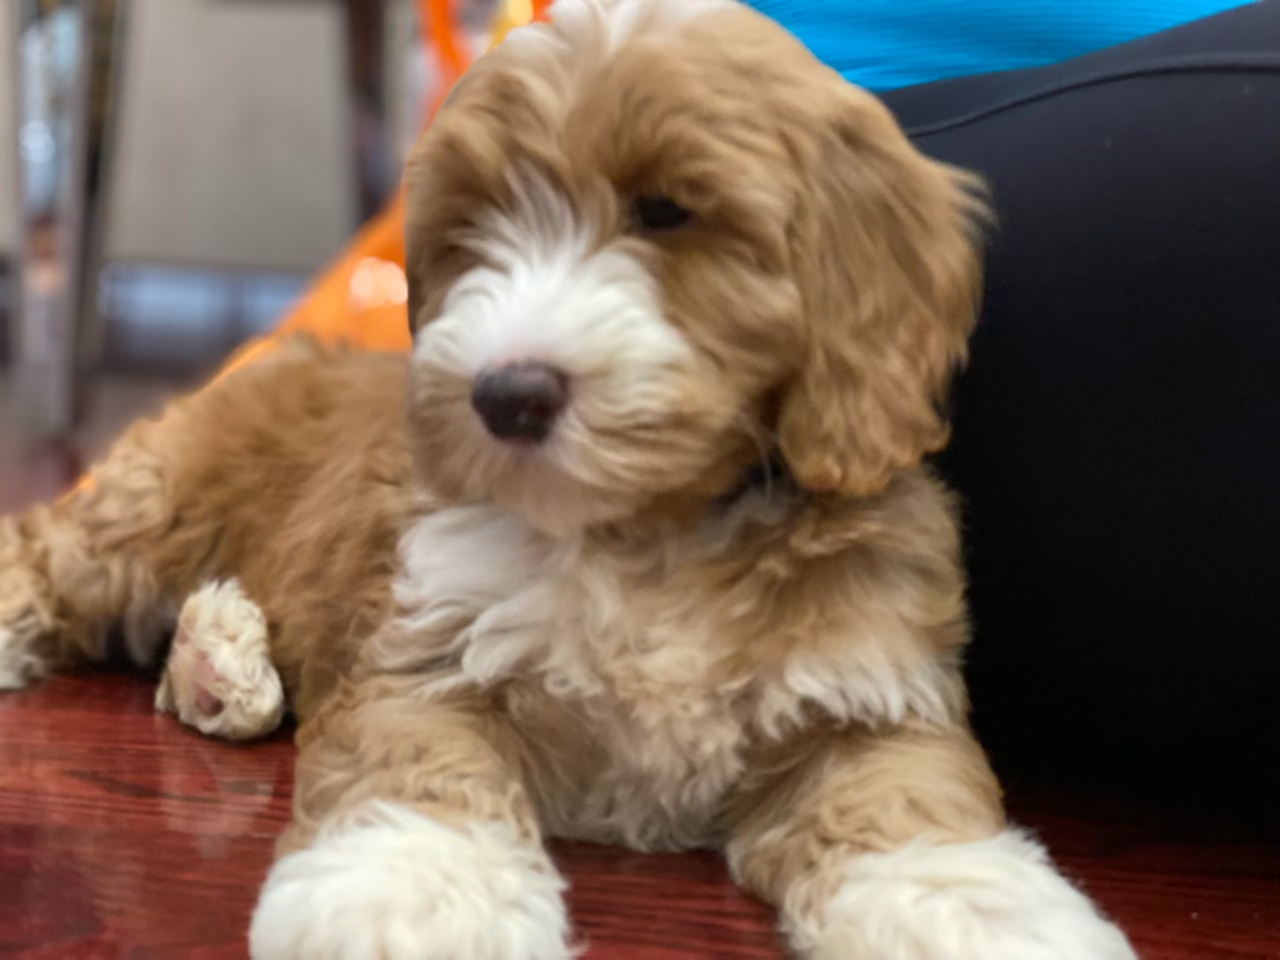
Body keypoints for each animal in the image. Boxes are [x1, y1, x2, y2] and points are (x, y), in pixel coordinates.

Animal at [0, 1, 1139, 957]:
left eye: (667, 211)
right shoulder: (427, 655)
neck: (653, 531)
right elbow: (417, 776)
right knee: (55, 548)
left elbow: (913, 815)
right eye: (470, 232)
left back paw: (217, 659)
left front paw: (987, 917)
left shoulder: (870, 696)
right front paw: (408, 902)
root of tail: (290, 351)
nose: (504, 394)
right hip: (163, 499)